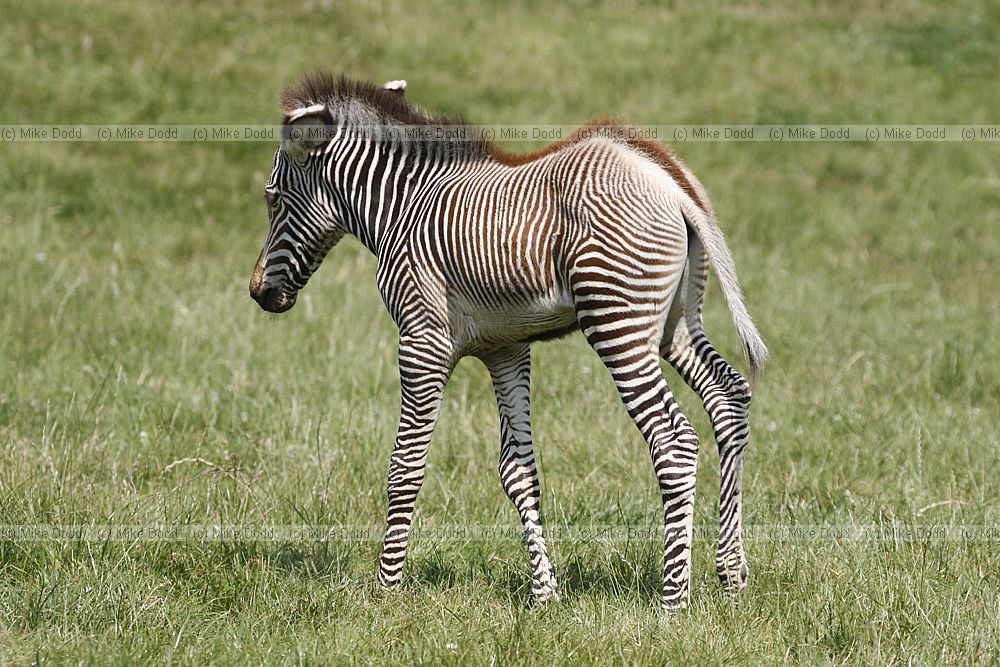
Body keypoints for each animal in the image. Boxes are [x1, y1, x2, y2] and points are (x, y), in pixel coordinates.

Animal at [249, 73, 767, 610]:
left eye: (272, 198)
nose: (258, 292)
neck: (403, 208)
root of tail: (667, 180)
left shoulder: (421, 339)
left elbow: (405, 465)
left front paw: (386, 588)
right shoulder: (505, 348)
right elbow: (518, 472)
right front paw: (544, 593)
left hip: (617, 324)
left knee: (674, 440)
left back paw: (673, 598)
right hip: (675, 325)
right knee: (729, 397)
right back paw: (732, 574)